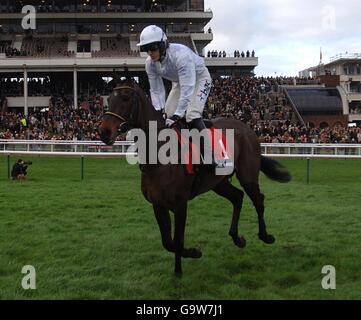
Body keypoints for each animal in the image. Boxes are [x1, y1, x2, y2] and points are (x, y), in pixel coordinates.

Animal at [98, 79, 290, 276]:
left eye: (125, 98)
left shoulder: (180, 204)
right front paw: (191, 254)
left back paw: (265, 236)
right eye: (108, 99)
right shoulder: (158, 204)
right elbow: (168, 242)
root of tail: (248, 128)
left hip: (248, 176)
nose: (104, 131)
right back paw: (237, 238)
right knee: (237, 197)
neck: (159, 156)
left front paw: (180, 269)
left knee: (258, 200)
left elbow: (177, 240)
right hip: (218, 183)